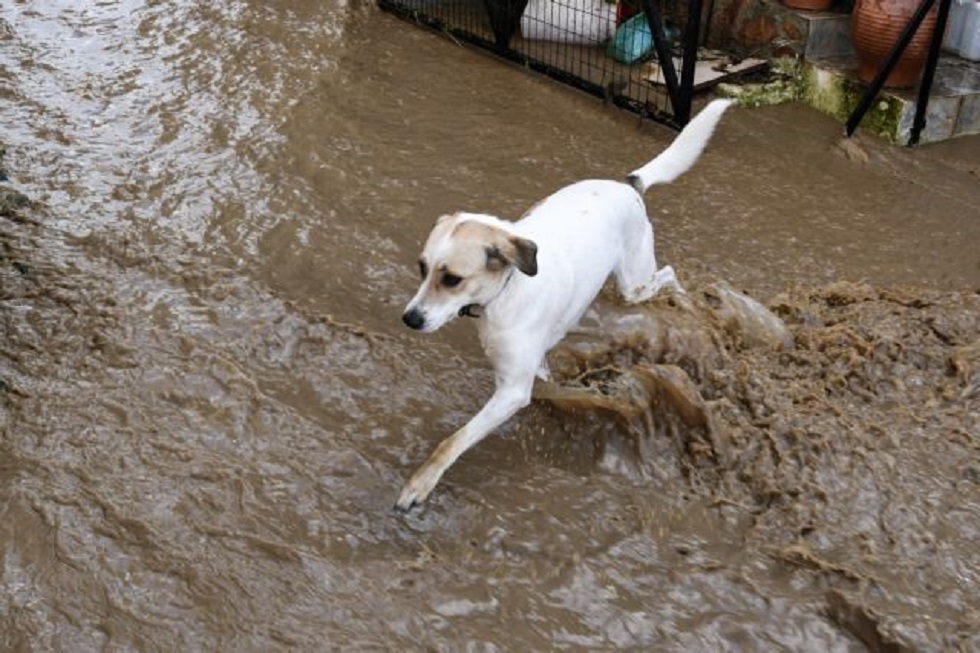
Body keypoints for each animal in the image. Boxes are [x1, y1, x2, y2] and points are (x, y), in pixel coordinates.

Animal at [398, 98, 736, 510]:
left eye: (451, 279)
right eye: (422, 268)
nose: (410, 319)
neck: (506, 291)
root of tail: (628, 185)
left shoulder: (513, 390)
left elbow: (453, 441)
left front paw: (420, 484)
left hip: (634, 283)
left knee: (668, 274)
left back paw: (684, 297)